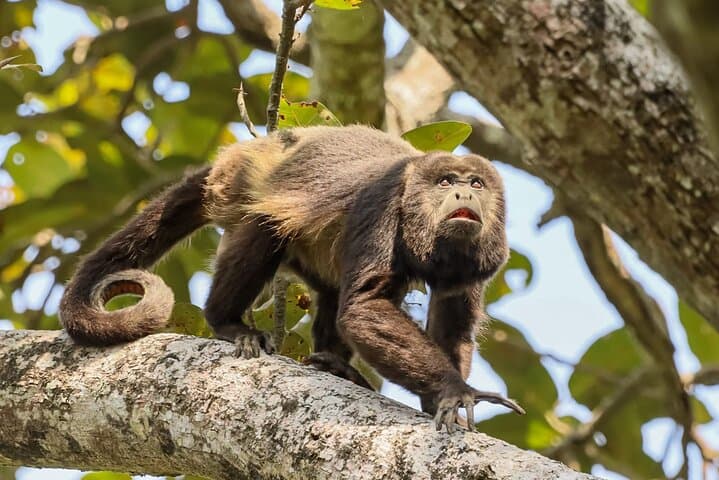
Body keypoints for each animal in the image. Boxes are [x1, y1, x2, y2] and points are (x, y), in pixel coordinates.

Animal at [59, 125, 524, 432]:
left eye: (477, 183)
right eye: (445, 182)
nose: (464, 193)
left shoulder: (480, 259)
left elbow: (454, 328)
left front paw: (438, 402)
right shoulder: (382, 202)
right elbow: (364, 308)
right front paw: (454, 389)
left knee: (332, 293)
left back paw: (335, 367)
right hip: (246, 186)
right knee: (267, 226)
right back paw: (228, 323)